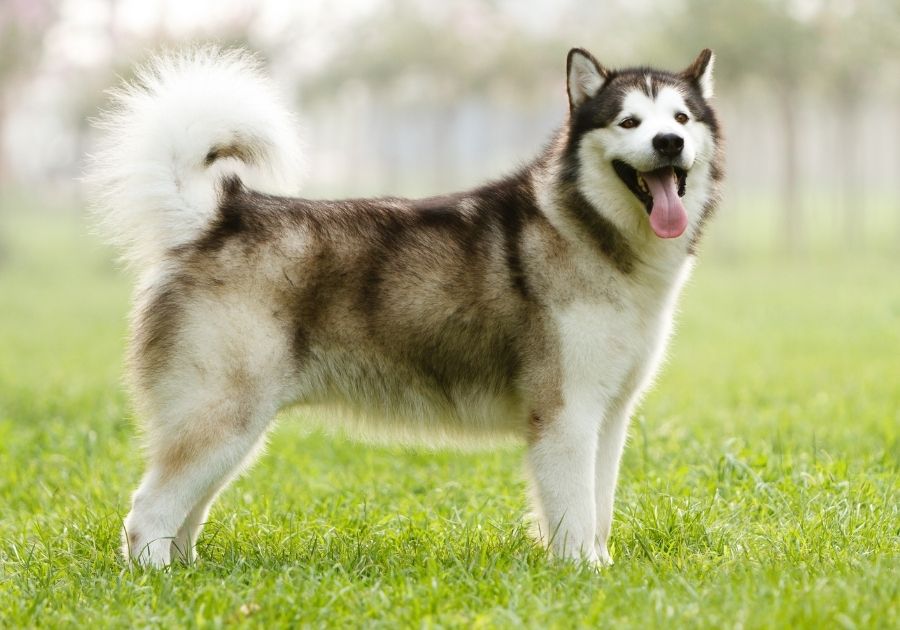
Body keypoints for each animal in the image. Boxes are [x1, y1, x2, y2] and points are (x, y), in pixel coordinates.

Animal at [88, 44, 724, 568]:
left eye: (681, 119)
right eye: (629, 122)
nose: (668, 144)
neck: (593, 234)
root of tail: (219, 214)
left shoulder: (609, 415)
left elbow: (599, 510)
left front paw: (604, 569)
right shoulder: (565, 413)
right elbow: (573, 515)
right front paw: (582, 577)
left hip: (229, 431)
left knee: (183, 512)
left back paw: (190, 573)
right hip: (223, 416)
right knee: (147, 513)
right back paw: (158, 582)